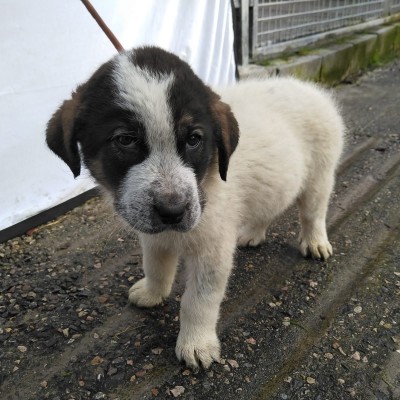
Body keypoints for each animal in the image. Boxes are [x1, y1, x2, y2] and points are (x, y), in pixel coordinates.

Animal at [44, 46, 344, 368]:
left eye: (193, 139)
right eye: (125, 140)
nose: (172, 211)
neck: (207, 182)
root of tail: (307, 88)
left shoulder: (212, 251)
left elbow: (198, 301)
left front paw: (196, 344)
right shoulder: (153, 237)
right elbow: (156, 267)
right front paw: (152, 293)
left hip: (319, 177)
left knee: (313, 214)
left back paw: (314, 242)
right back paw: (253, 233)